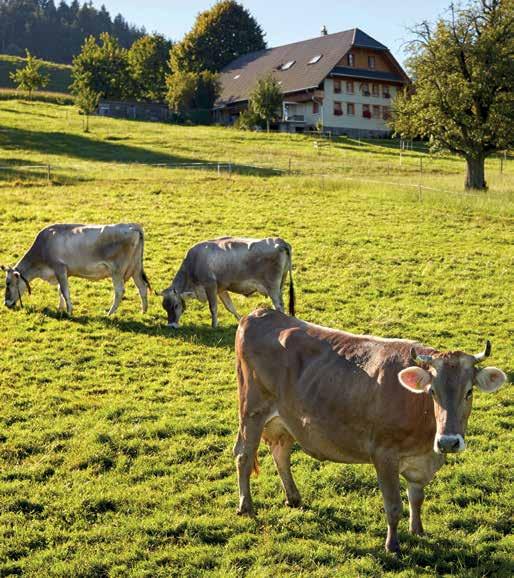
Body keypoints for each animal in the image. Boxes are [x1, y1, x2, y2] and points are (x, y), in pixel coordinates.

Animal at [2, 223, 150, 316]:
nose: (5, 303)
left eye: (8, 283)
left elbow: (64, 291)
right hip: (136, 268)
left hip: (117, 271)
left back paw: (109, 313)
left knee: (119, 291)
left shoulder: (60, 268)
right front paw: (60, 308)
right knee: (142, 287)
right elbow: (60, 291)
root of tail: (132, 226)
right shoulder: (62, 273)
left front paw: (69, 311)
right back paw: (143, 311)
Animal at [160, 237, 296, 328]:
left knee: (279, 305)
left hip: (272, 287)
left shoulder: (210, 286)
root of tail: (280, 241)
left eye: (175, 306)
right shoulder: (221, 289)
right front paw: (240, 320)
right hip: (280, 285)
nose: (171, 326)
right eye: (164, 307)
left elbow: (213, 307)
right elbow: (230, 307)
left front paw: (214, 326)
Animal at [233, 308, 504, 552]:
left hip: (284, 420)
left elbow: (416, 498)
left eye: (469, 391)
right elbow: (393, 506)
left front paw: (418, 531)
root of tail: (260, 313)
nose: (448, 442)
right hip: (252, 411)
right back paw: (246, 506)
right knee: (244, 456)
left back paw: (293, 498)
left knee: (280, 453)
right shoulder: (384, 455)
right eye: (432, 392)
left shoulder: (420, 461)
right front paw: (392, 545)